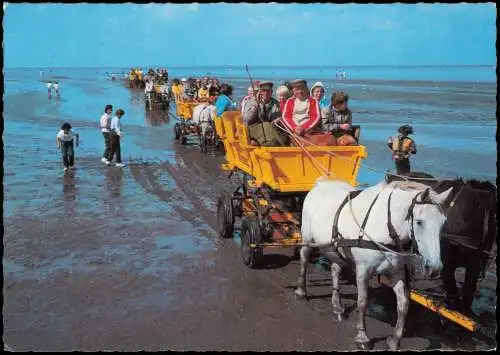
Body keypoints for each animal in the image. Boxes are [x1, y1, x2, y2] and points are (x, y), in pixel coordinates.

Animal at [296, 179, 454, 352]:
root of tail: (321, 183)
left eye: (443, 224)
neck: (385, 228)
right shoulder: (363, 270)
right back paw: (301, 292)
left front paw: (394, 340)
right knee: (304, 259)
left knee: (335, 269)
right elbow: (363, 301)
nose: (434, 268)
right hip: (308, 239)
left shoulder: (397, 272)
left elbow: (403, 304)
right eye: (419, 222)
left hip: (334, 247)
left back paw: (337, 306)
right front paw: (362, 337)